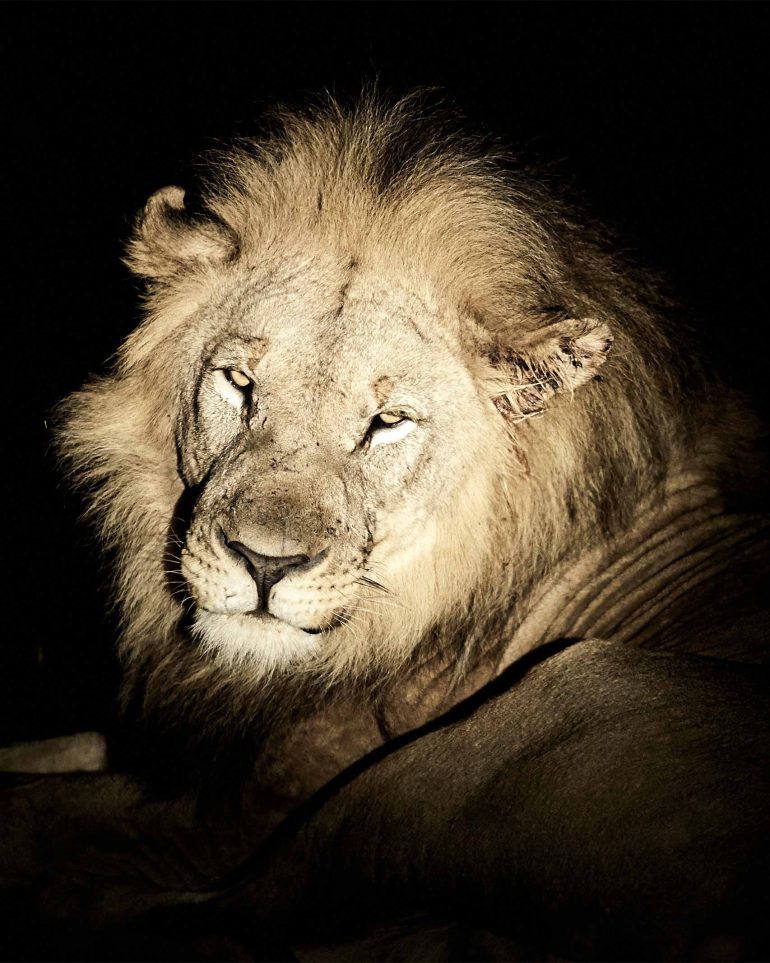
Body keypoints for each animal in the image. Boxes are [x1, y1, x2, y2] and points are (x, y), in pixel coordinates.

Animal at [2, 92, 769, 959]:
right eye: (239, 381)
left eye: (388, 422)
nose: (264, 565)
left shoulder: (237, 811)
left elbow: (32, 812)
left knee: (246, 912)